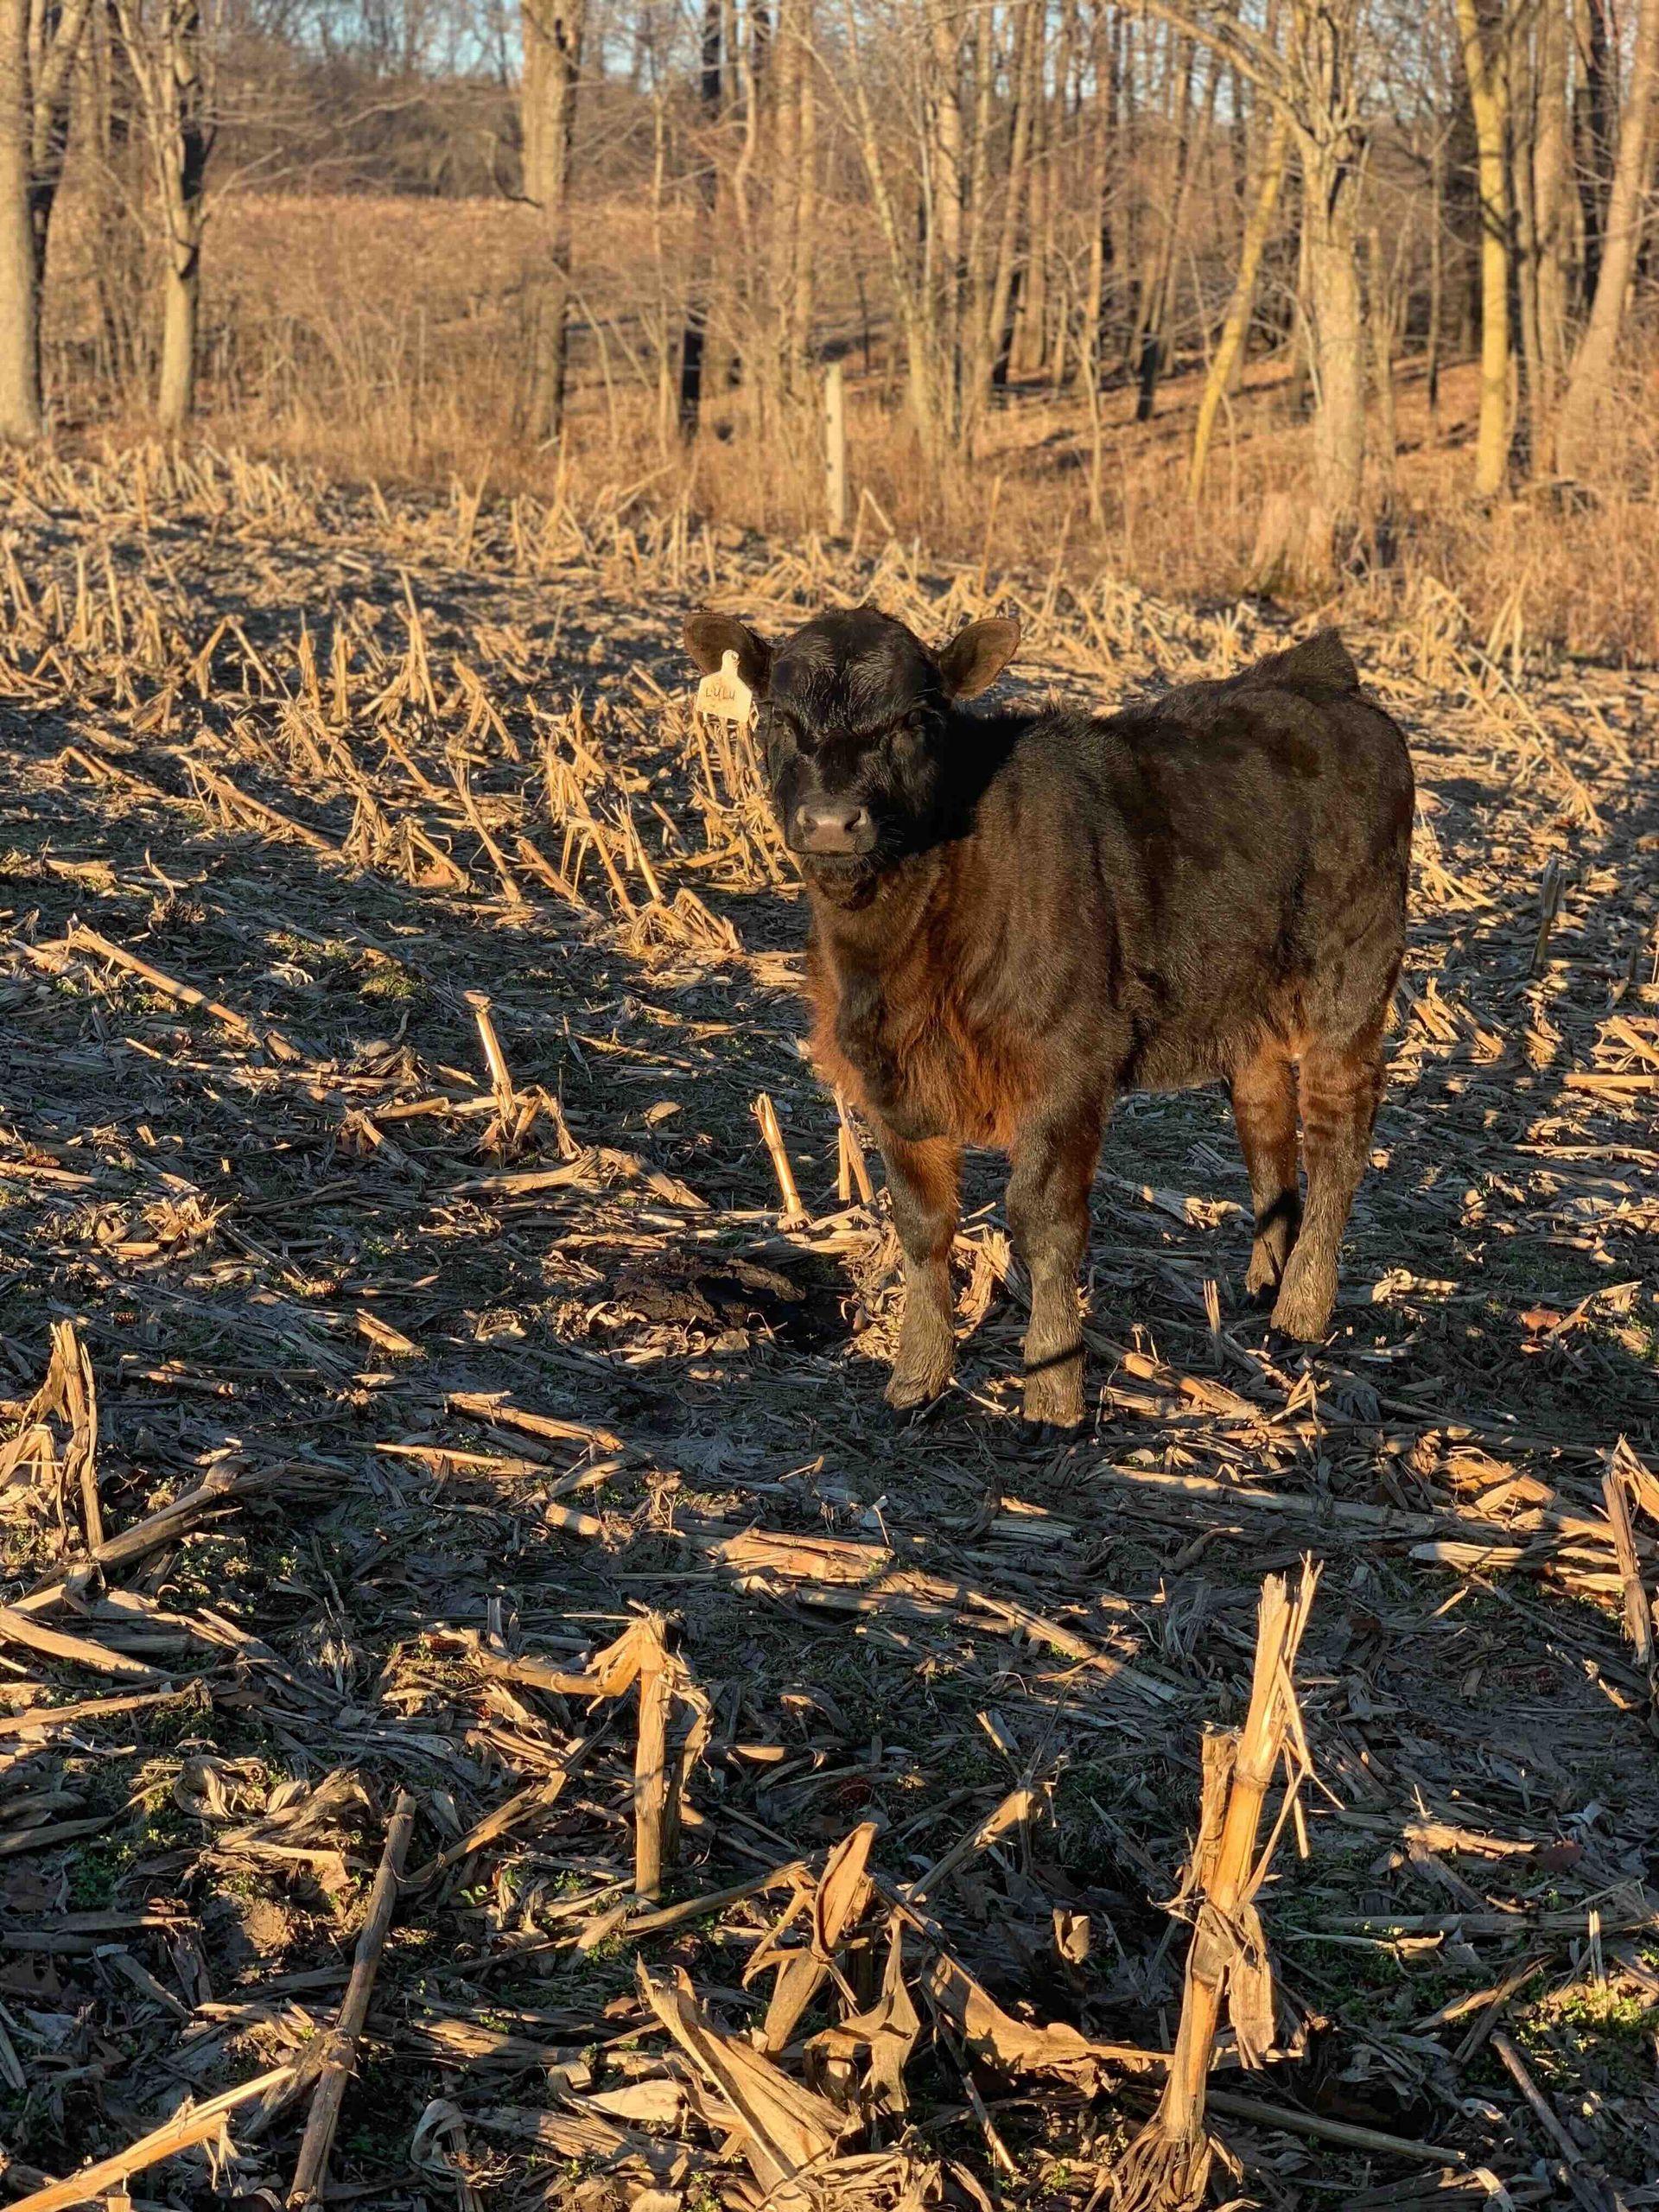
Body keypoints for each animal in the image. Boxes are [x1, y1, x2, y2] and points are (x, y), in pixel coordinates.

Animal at [683, 606, 1414, 1427]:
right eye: (775, 717)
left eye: (916, 719)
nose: (834, 822)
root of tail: (1317, 677)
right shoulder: (890, 1079)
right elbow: (922, 1224)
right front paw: (917, 1377)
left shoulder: (1066, 1068)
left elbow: (1044, 1223)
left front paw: (1053, 1389)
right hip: (1244, 1003)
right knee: (1265, 1122)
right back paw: (1267, 1282)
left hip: (1351, 986)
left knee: (1337, 1134)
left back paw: (1303, 1310)